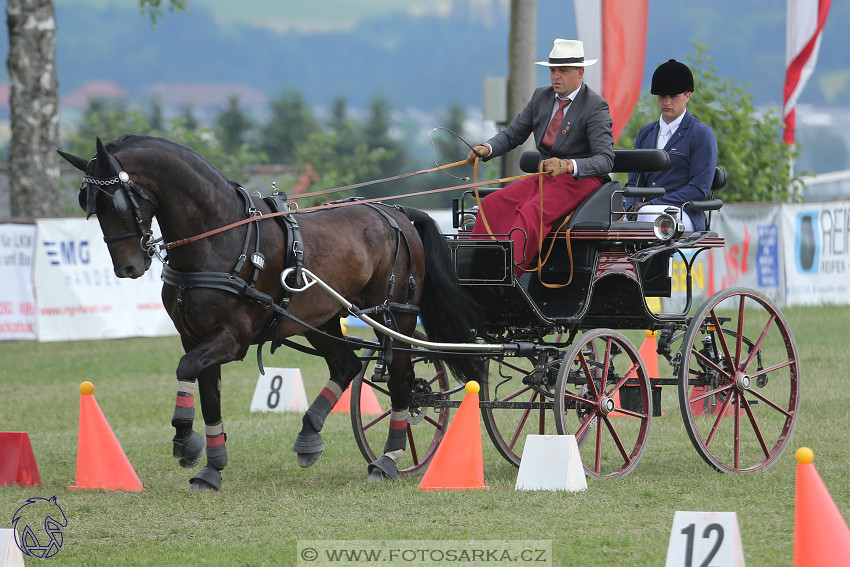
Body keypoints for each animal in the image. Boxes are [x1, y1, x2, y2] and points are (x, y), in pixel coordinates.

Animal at [59, 135, 480, 490]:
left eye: (117, 202)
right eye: (89, 205)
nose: (128, 267)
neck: (219, 236)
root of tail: (397, 212)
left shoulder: (232, 338)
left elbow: (185, 369)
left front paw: (185, 441)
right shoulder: (196, 337)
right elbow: (207, 393)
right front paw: (211, 467)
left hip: (394, 314)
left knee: (402, 379)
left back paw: (388, 459)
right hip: (320, 320)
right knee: (346, 365)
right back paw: (310, 435)